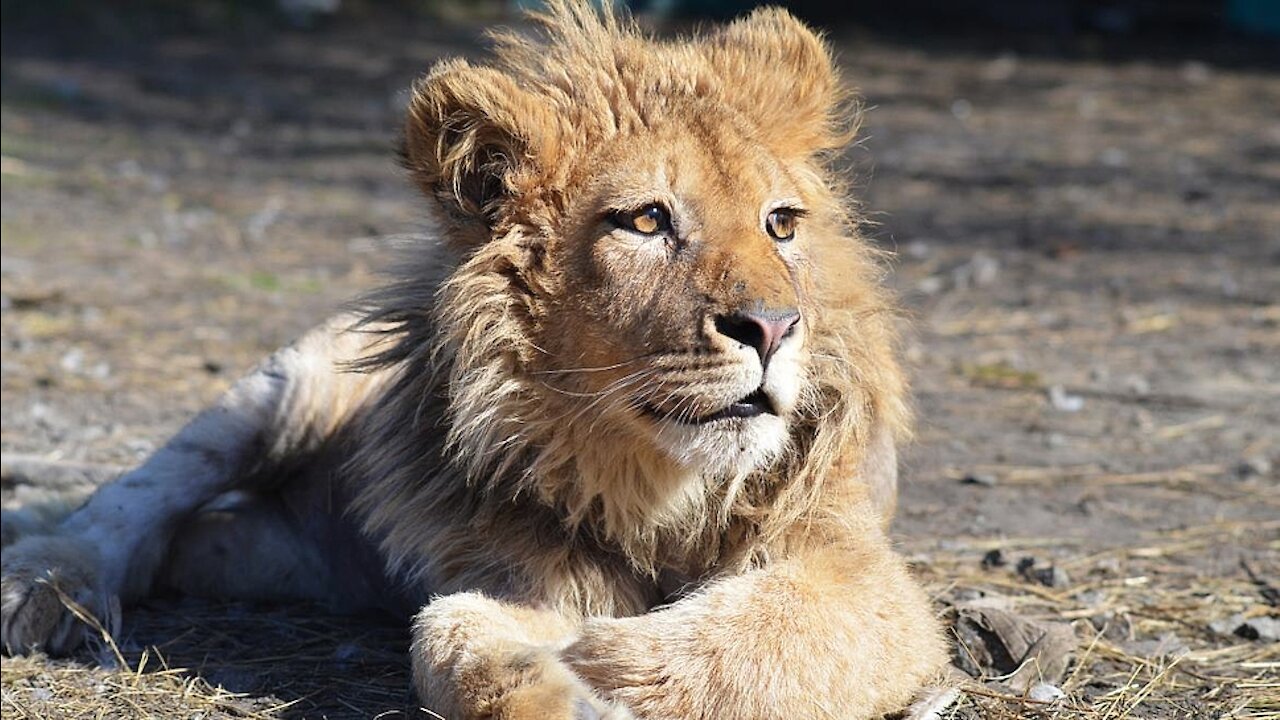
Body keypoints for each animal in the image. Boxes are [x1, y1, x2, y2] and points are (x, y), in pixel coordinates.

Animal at [2, 2, 952, 712]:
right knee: (134, 499)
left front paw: (598, 663)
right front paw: (558, 683)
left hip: (271, 549)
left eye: (780, 224)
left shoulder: (859, 568)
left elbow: (766, 633)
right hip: (292, 383)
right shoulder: (510, 567)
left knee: (186, 543)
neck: (657, 488)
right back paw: (46, 586)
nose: (773, 327)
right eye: (646, 221)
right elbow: (448, 632)